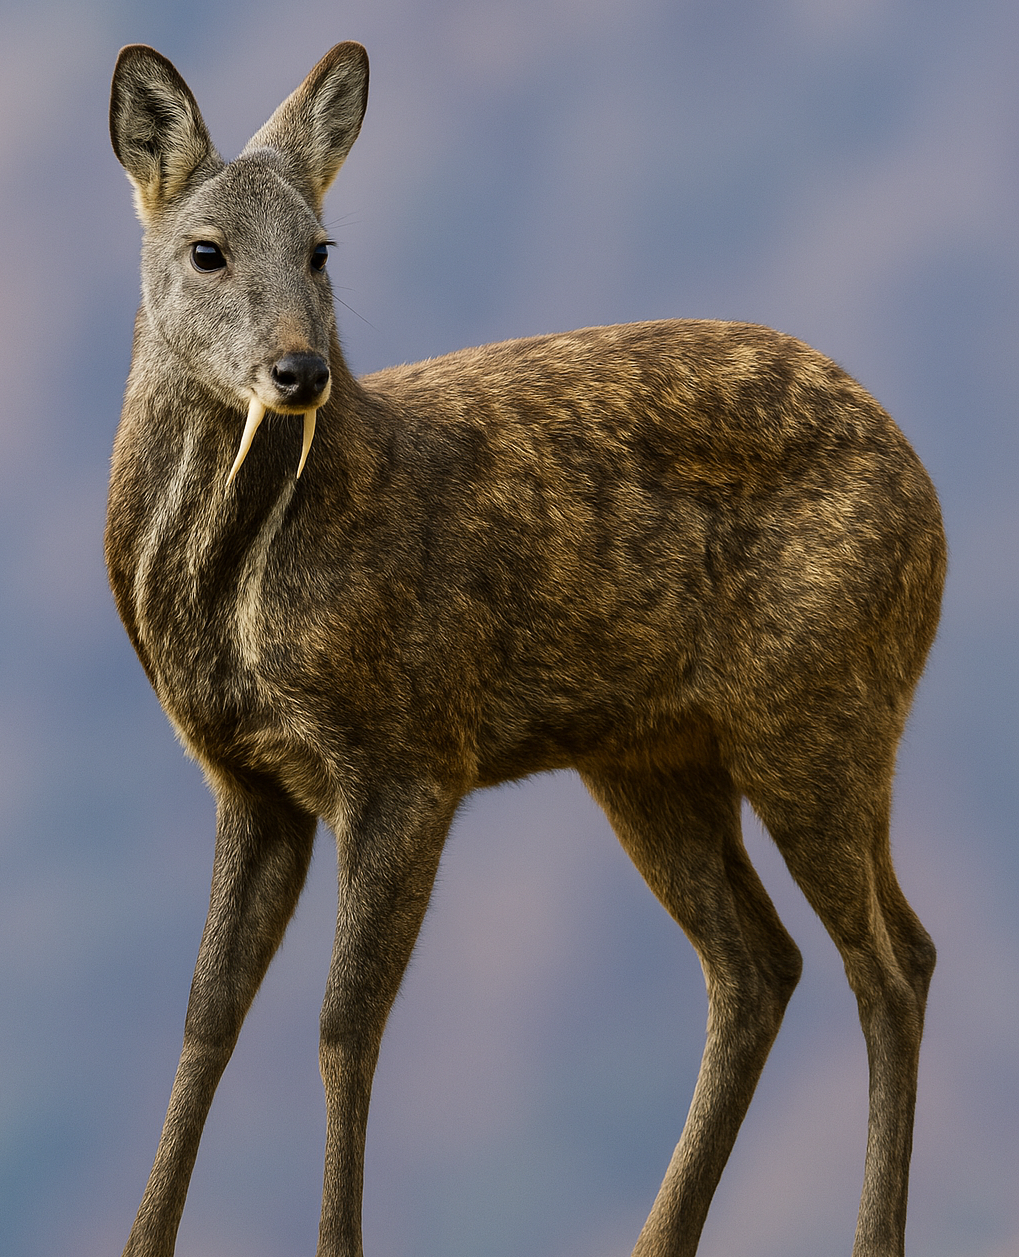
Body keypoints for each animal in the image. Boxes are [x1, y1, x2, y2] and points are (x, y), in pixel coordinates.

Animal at [107, 39, 946, 1257]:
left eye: (320, 248)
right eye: (205, 250)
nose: (300, 372)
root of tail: (929, 495)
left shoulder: (409, 753)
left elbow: (344, 1022)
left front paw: (338, 1244)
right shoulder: (248, 777)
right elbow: (207, 1011)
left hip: (821, 706)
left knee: (882, 965)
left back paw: (868, 1236)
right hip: (652, 757)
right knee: (766, 963)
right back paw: (656, 1240)